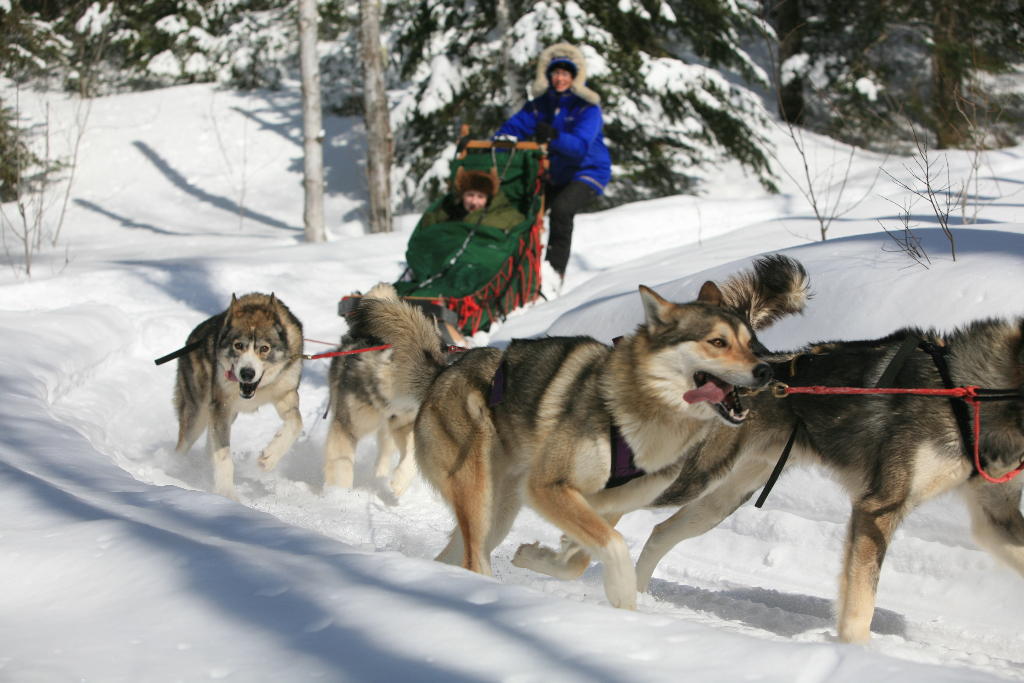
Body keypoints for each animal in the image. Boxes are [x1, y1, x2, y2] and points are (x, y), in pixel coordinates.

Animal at [174, 292, 304, 500]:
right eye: (238, 345)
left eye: (264, 348)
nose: (247, 373)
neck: (259, 389)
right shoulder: (221, 406)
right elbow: (223, 455)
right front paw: (226, 492)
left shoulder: (286, 394)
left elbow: (296, 423)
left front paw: (270, 457)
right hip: (198, 412)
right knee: (184, 443)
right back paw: (174, 466)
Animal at [324, 283, 418, 499]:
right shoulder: (345, 428)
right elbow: (341, 469)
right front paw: (339, 497)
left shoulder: (404, 423)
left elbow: (412, 455)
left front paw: (400, 481)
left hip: (389, 431)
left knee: (384, 452)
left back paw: (379, 476)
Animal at [346, 254, 808, 608]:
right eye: (717, 342)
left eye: (752, 344)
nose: (766, 370)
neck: (640, 416)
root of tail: (444, 370)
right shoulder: (548, 487)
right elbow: (615, 547)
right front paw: (623, 599)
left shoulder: (605, 504)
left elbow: (581, 557)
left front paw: (540, 557)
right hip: (477, 489)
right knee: (474, 557)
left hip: (500, 508)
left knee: (460, 553)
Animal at [632, 319, 1024, 643]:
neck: (965, 390)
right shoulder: (879, 508)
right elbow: (861, 604)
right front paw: (858, 653)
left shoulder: (996, 516)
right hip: (689, 479)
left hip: (722, 499)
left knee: (660, 532)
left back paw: (634, 593)